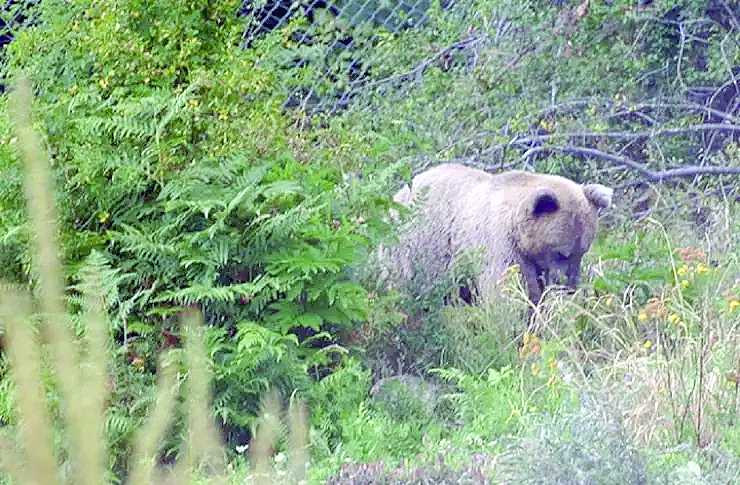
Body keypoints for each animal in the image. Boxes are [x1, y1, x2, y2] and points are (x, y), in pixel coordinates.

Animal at [388, 163, 612, 302]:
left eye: (582, 251)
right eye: (561, 253)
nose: (569, 286)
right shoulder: (500, 246)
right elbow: (505, 293)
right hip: (414, 251)